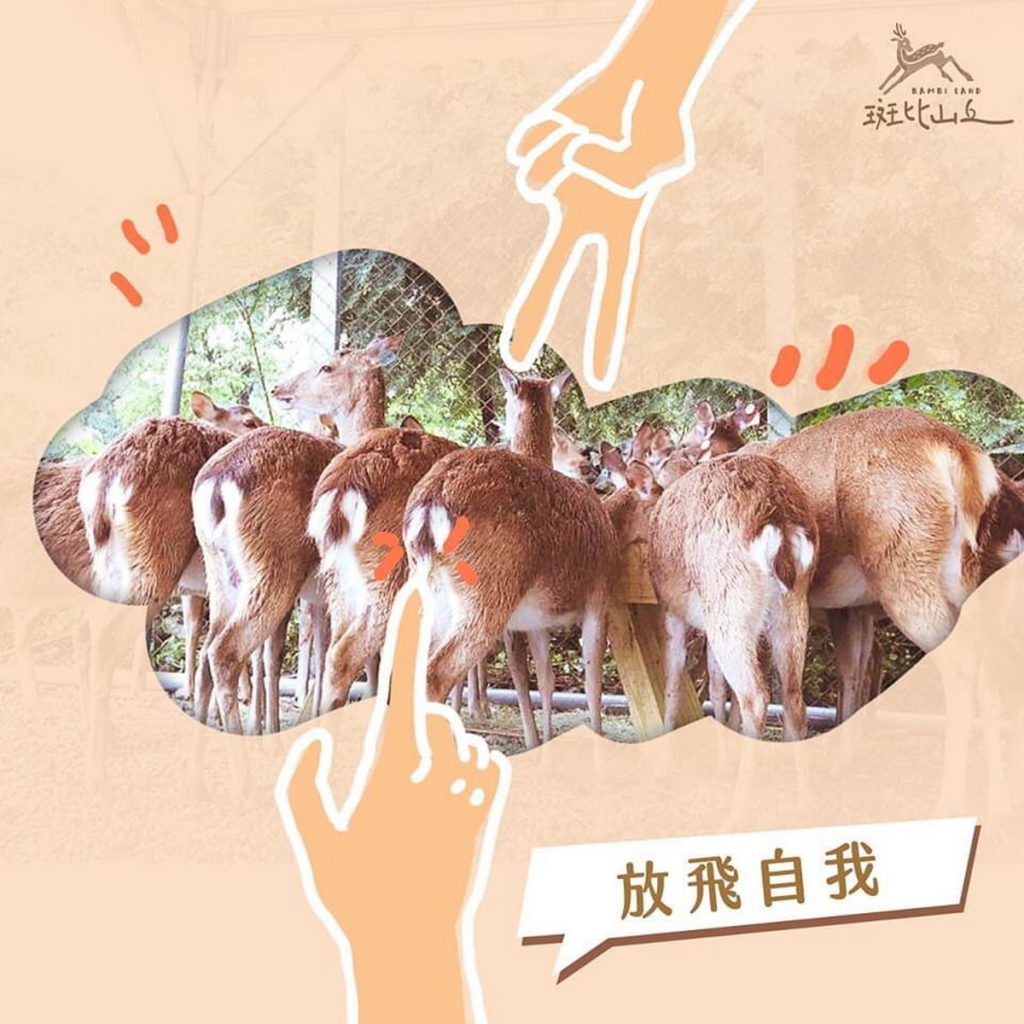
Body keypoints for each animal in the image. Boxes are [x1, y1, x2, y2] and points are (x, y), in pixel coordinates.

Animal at [191, 333, 404, 734]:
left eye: (327, 366)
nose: (279, 387)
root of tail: (214, 484)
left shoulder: (320, 596)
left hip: (222, 573)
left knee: (207, 658)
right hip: (273, 569)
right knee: (225, 652)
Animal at [404, 367, 618, 747]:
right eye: (559, 429)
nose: (589, 455)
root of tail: (429, 507)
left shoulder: (533, 621)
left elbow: (542, 678)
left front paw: (542, 739)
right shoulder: (599, 593)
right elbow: (592, 681)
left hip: (434, 594)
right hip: (488, 591)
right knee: (435, 672)